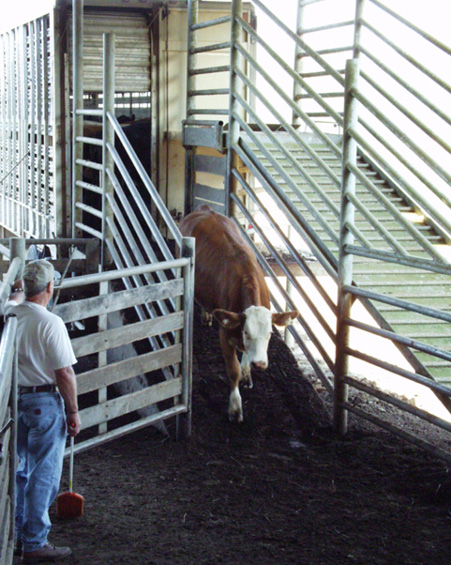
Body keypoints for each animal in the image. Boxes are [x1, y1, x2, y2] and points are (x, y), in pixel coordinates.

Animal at [178, 205, 298, 420]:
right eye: (246, 332)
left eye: (270, 333)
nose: (260, 363)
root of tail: (206, 209)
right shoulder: (225, 333)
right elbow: (232, 369)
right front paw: (235, 407)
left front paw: (247, 373)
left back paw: (207, 315)